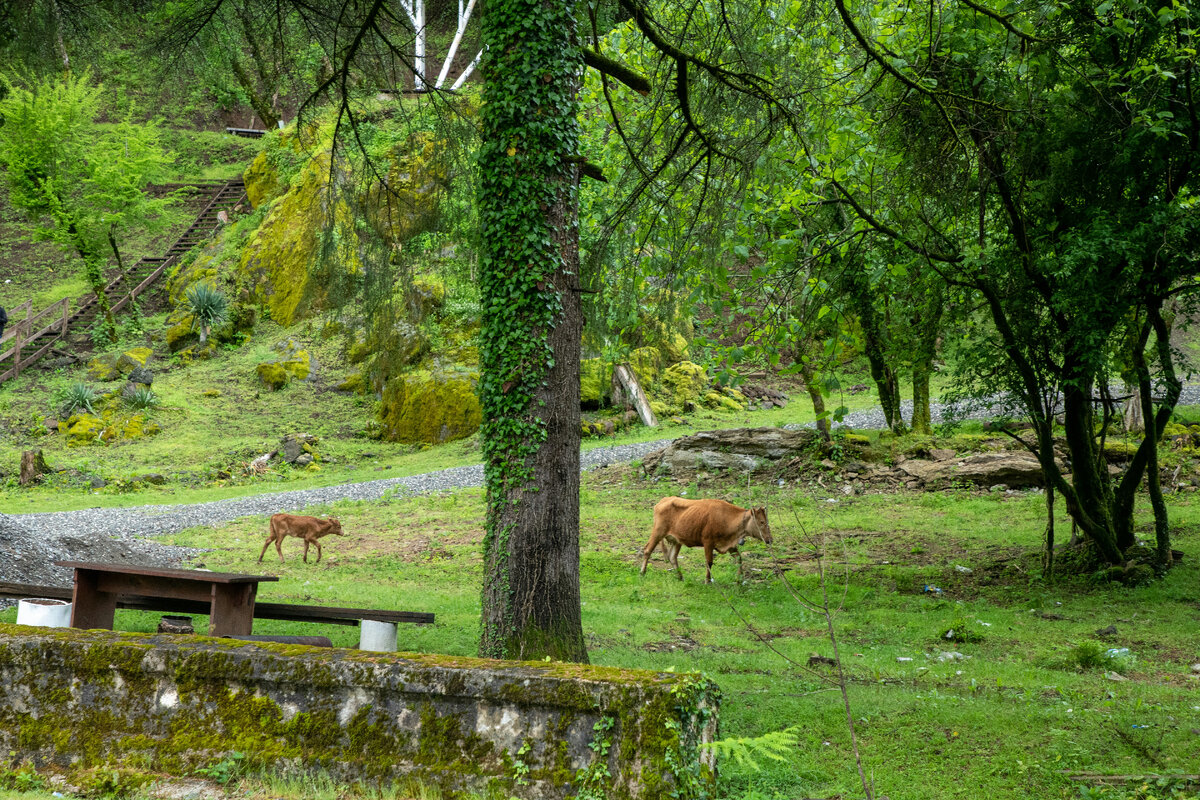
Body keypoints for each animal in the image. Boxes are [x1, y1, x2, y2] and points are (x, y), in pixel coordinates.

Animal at [643, 496, 772, 585]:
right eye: (761, 522)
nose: (770, 539)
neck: (726, 518)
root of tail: (663, 500)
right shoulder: (708, 542)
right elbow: (709, 562)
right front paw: (707, 581)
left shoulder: (729, 545)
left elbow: (739, 559)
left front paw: (739, 581)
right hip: (658, 532)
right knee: (647, 550)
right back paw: (642, 572)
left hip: (677, 541)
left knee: (672, 557)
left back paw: (680, 577)